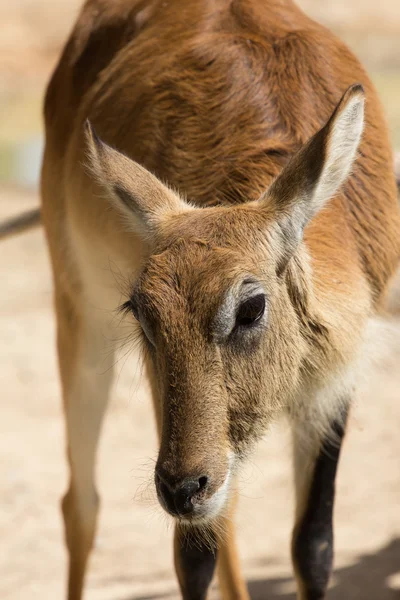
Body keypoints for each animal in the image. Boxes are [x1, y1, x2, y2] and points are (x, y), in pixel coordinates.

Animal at [13, 0, 400, 596]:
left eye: (251, 306)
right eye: (141, 310)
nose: (180, 489)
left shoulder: (332, 384)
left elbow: (313, 547)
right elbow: (193, 556)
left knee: (224, 513)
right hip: (80, 323)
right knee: (81, 504)